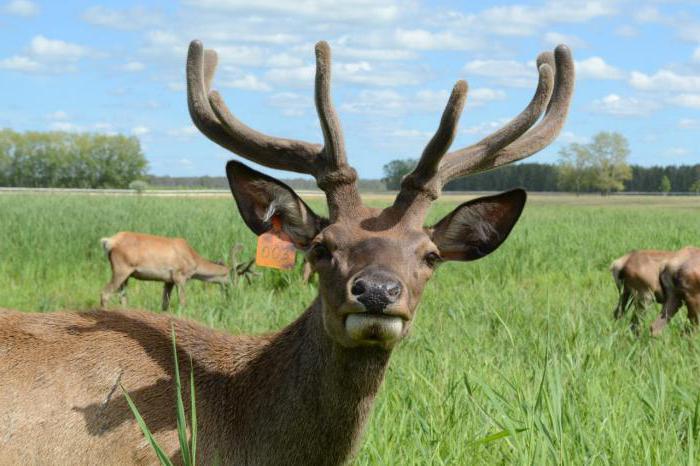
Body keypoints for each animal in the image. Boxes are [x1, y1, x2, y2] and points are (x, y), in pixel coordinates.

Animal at [98, 232, 252, 312]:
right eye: (235, 278)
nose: (237, 293)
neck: (194, 260)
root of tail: (108, 242)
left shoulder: (168, 280)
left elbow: (164, 304)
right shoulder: (180, 276)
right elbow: (183, 302)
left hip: (127, 275)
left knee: (122, 297)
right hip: (121, 269)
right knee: (105, 293)